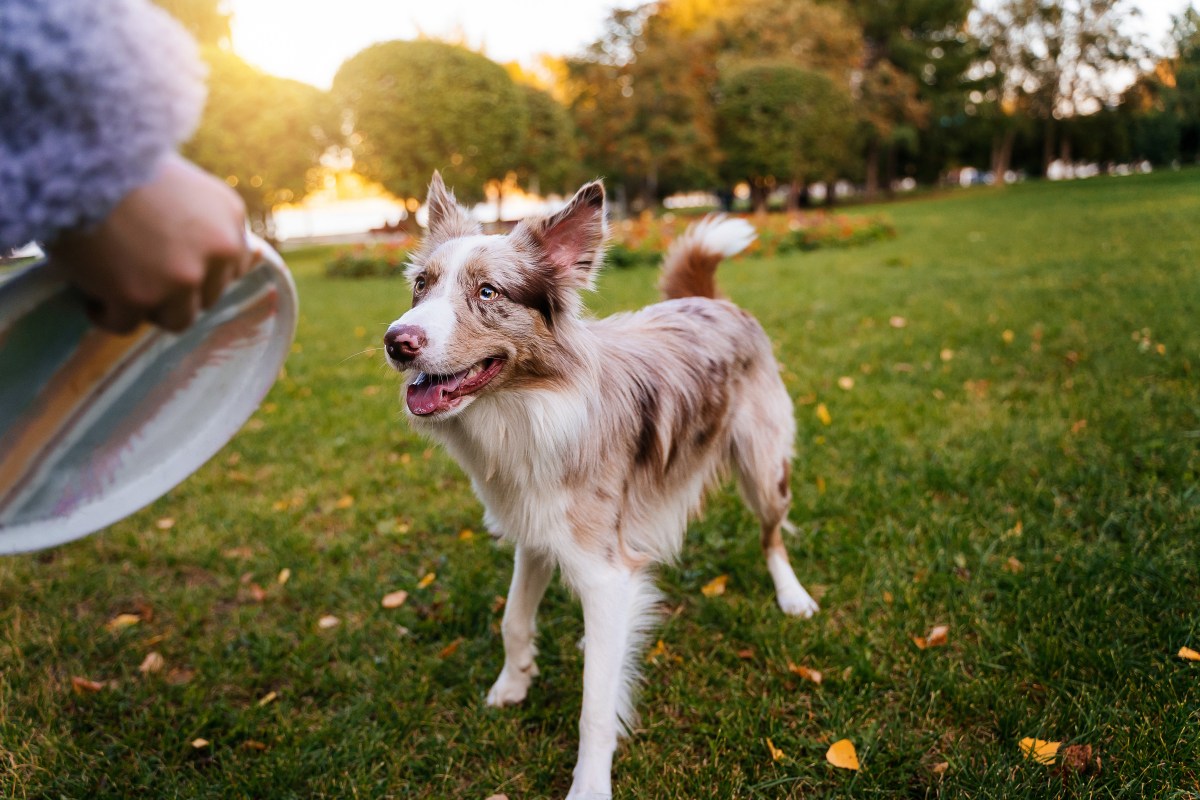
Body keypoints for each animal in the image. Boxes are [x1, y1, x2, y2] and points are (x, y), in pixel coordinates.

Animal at [379, 173, 820, 796]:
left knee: (772, 535)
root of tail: (710, 300)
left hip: (764, 466)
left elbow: (594, 705)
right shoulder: (537, 534)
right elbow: (513, 620)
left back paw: (792, 595)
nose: (397, 341)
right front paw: (513, 683)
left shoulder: (603, 567)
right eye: (421, 285)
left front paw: (589, 783)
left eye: (488, 292)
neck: (529, 411)